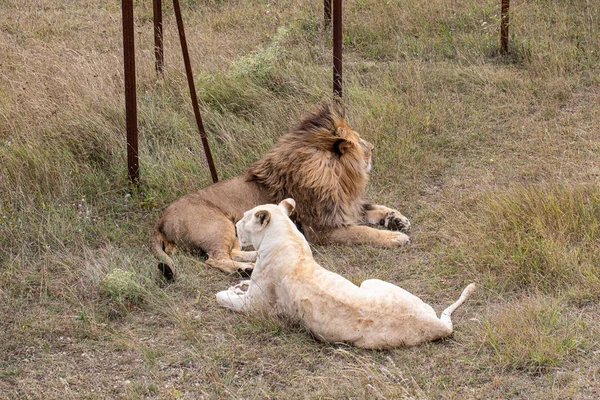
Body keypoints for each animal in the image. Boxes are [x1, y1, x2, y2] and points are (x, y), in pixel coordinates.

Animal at [152, 101, 410, 280]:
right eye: (360, 141)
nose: (373, 148)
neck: (338, 180)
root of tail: (160, 220)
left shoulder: (346, 207)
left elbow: (374, 207)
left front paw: (397, 219)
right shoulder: (321, 230)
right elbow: (363, 232)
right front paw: (395, 237)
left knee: (232, 252)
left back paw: (256, 257)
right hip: (218, 225)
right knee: (216, 259)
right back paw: (245, 269)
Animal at [218, 200, 476, 350]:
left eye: (244, 217)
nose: (235, 226)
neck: (286, 236)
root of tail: (437, 326)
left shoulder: (256, 307)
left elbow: (221, 298)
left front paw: (229, 291)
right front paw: (239, 285)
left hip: (369, 281)